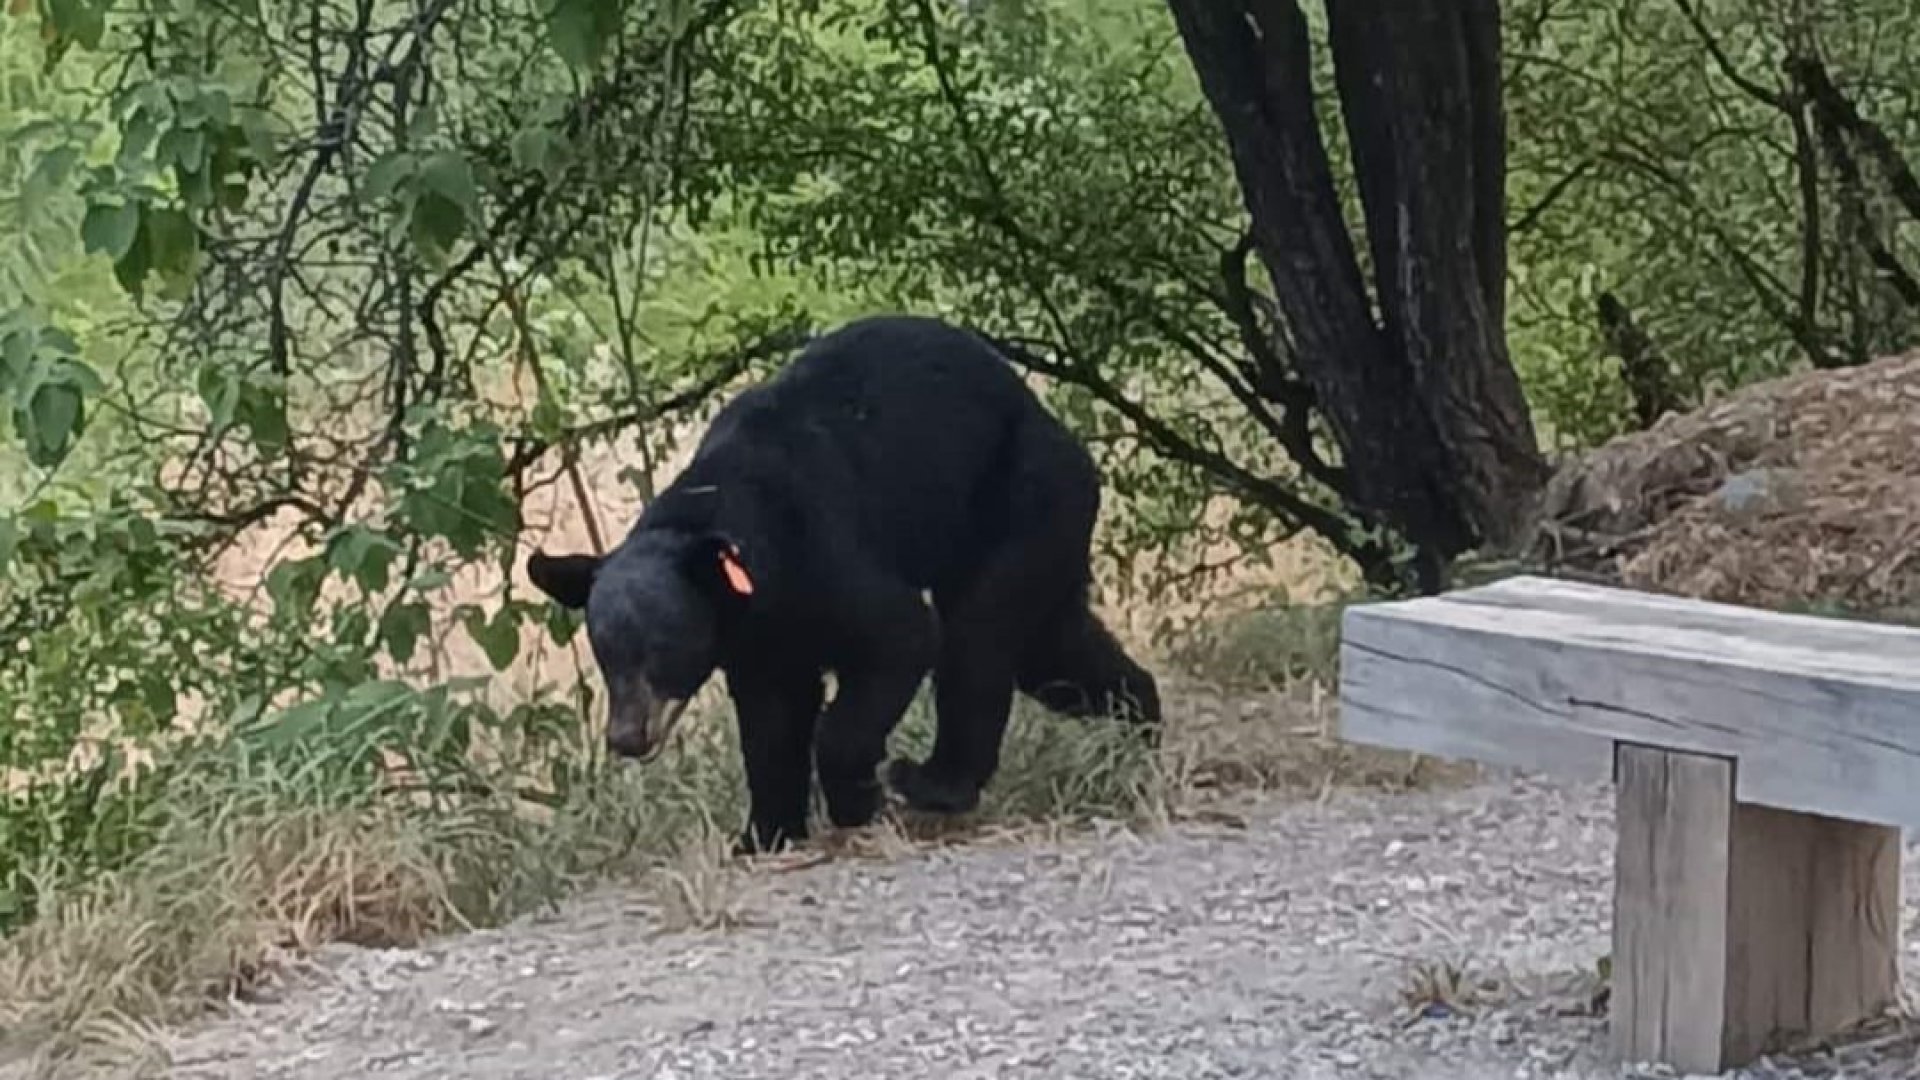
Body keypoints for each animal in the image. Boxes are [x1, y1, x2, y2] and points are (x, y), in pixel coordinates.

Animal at [525, 314, 1160, 854]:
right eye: (605, 653)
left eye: (663, 649)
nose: (626, 737)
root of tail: (1056, 427)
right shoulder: (757, 637)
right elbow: (770, 721)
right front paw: (764, 833)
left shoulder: (823, 552)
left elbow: (899, 637)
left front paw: (855, 797)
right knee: (1049, 648)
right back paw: (1140, 723)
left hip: (1021, 499)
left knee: (977, 637)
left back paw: (933, 781)